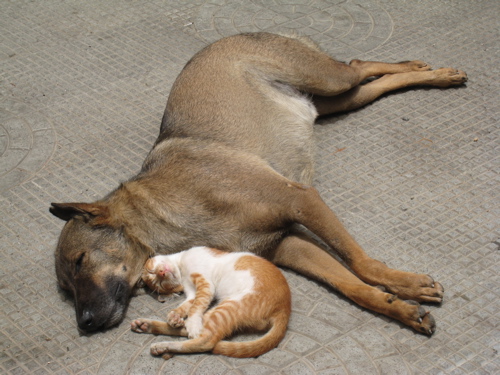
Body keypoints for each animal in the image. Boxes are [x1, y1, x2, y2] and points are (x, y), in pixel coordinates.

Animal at [48, 32, 466, 334]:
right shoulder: (286, 245)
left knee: (359, 65)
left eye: (81, 262)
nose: (84, 324)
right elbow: (351, 284)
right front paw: (399, 308)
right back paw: (428, 73)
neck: (162, 215)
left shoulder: (301, 200)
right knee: (370, 83)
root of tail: (226, 36)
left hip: (326, 79)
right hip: (334, 100)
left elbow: (362, 263)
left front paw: (403, 283)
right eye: (67, 289)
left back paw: (433, 71)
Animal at [131, 245, 292, 360]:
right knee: (201, 334)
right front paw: (174, 316)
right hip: (222, 309)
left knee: (205, 341)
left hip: (229, 306)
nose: (161, 273)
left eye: (152, 271)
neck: (181, 269)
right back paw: (147, 327)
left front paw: (189, 322)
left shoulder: (205, 284)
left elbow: (195, 307)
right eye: (159, 283)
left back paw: (166, 342)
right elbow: (186, 306)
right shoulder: (193, 292)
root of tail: (284, 309)